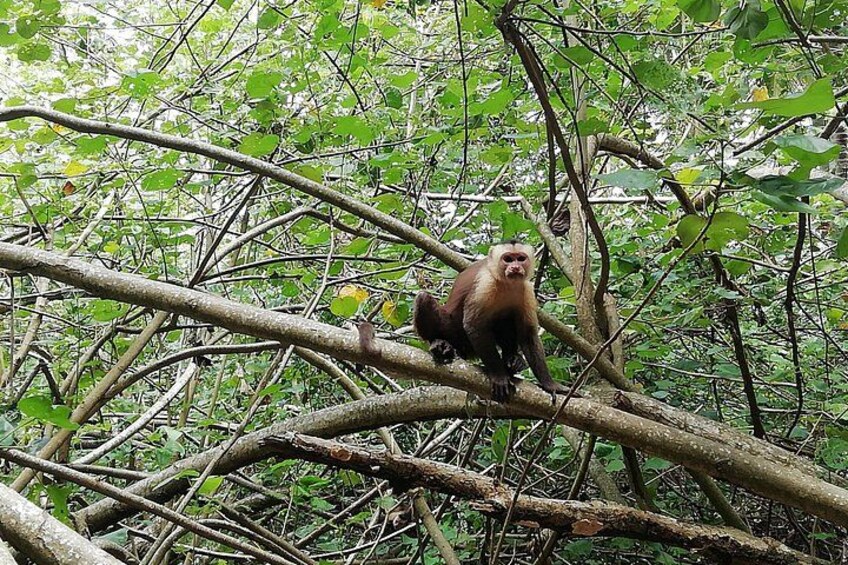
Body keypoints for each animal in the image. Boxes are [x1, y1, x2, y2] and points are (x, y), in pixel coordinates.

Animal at [412, 240, 568, 402]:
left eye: (520, 258)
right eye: (508, 259)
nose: (515, 267)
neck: (506, 284)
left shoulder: (527, 290)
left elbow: (528, 335)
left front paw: (550, 384)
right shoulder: (484, 284)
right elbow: (474, 325)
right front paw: (499, 376)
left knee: (505, 317)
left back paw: (512, 359)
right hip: (454, 332)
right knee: (424, 298)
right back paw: (439, 344)